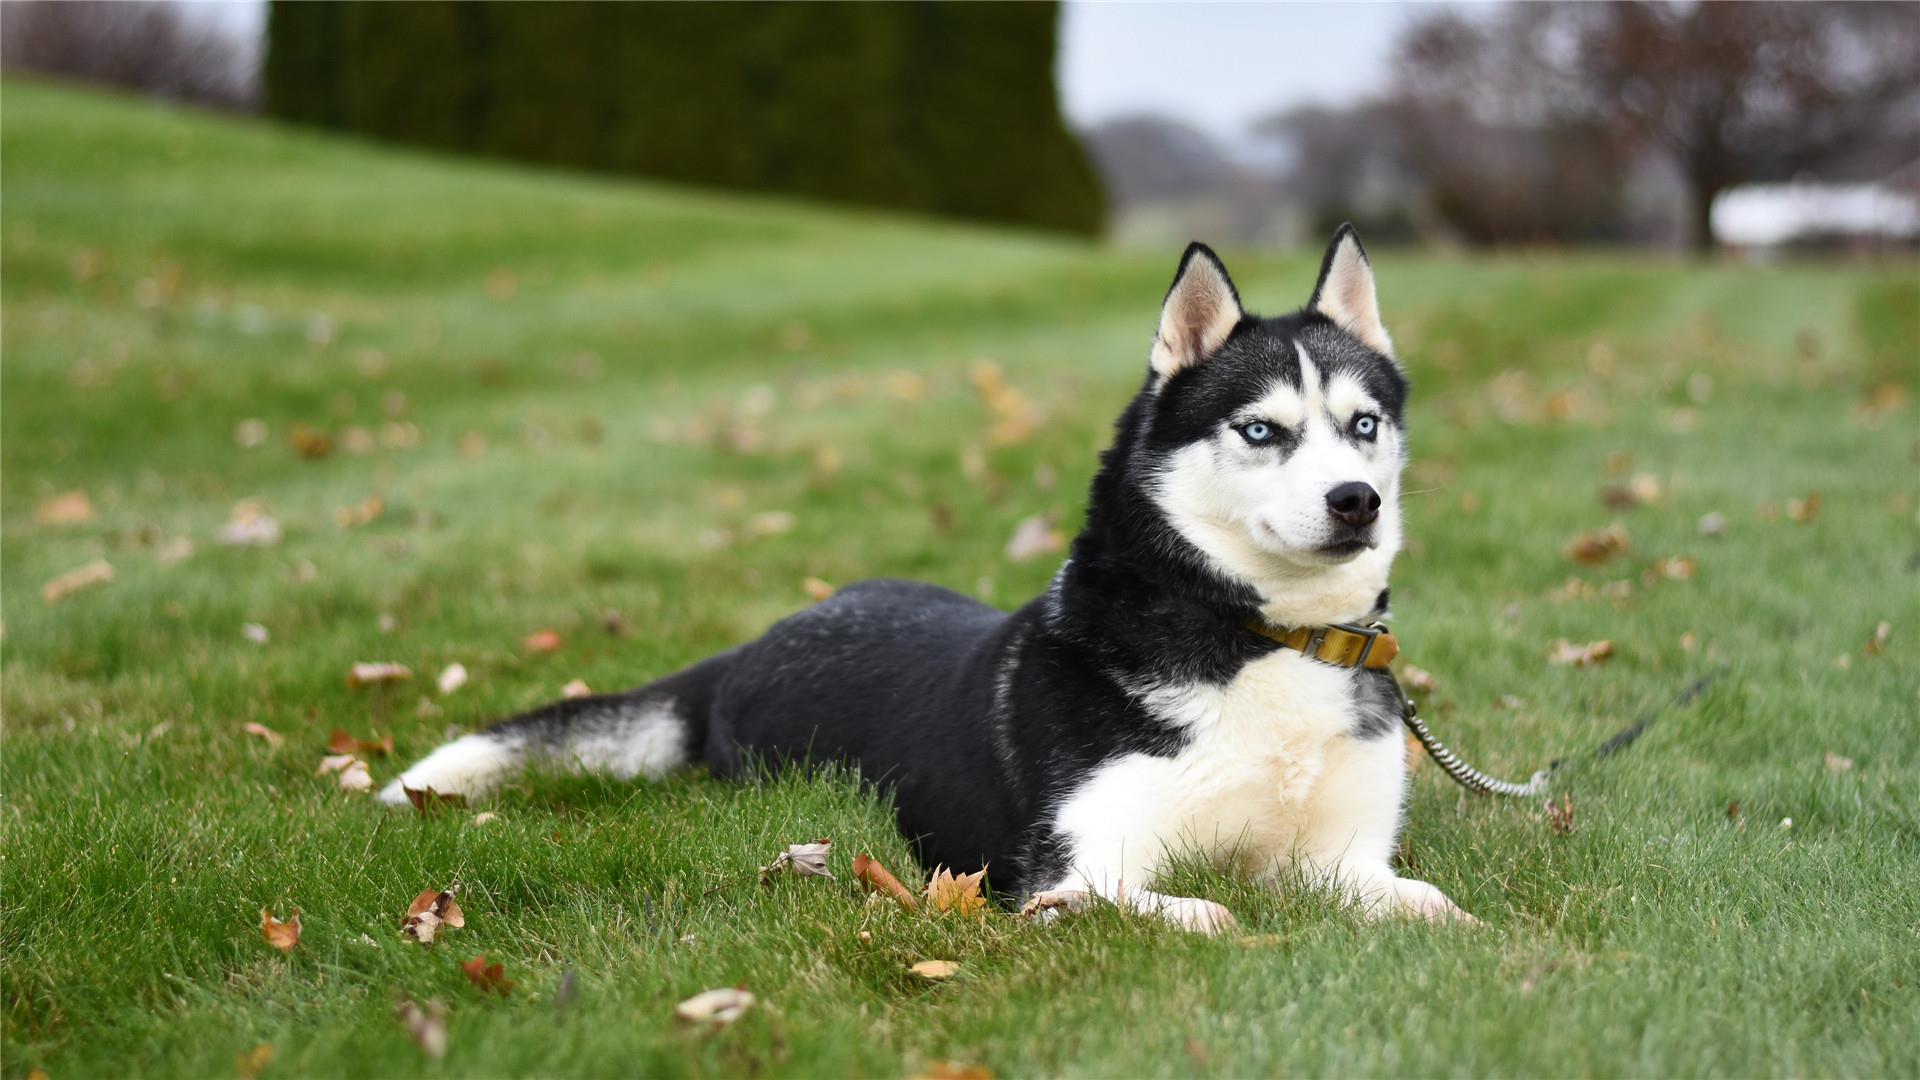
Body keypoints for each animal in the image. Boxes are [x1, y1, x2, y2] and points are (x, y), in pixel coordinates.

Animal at [385, 226, 1466, 926]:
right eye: (1261, 431)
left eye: (1363, 424)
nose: (1357, 501)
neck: (1263, 636)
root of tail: (754, 644)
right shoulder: (1071, 868)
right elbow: (1209, 912)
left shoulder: (1340, 858)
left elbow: (1428, 903)